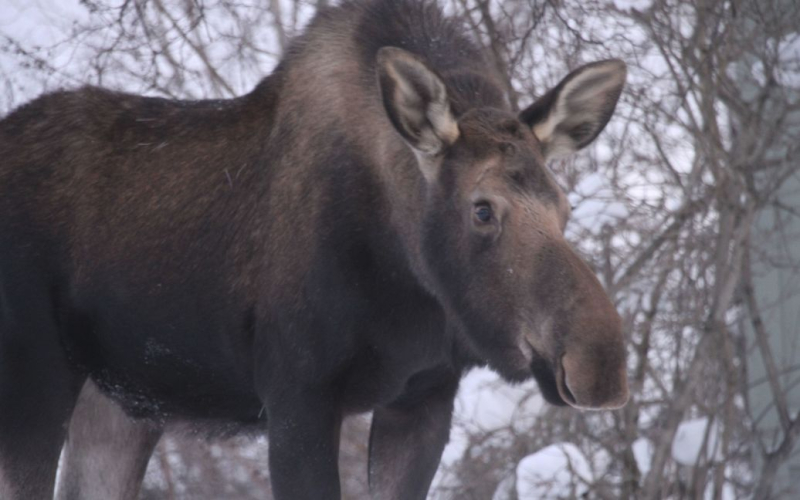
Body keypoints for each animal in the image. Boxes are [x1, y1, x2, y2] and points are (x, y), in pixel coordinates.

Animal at [0, 0, 624, 498]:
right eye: (482, 208)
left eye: (564, 206)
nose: (600, 362)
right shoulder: (298, 397)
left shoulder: (422, 397)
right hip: (36, 380)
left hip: (118, 405)